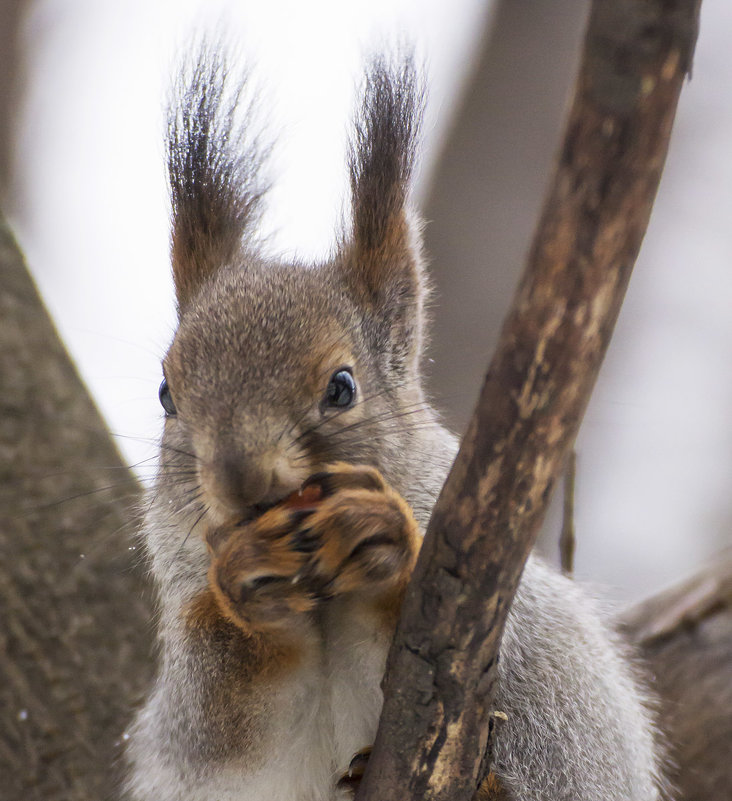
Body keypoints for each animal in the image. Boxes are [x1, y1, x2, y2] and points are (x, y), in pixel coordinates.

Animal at [124, 45, 664, 800]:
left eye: (342, 387)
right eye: (167, 395)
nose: (240, 477)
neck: (322, 597)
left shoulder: (523, 634)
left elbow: (477, 649)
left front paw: (384, 538)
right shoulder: (194, 708)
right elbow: (213, 717)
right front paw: (243, 583)